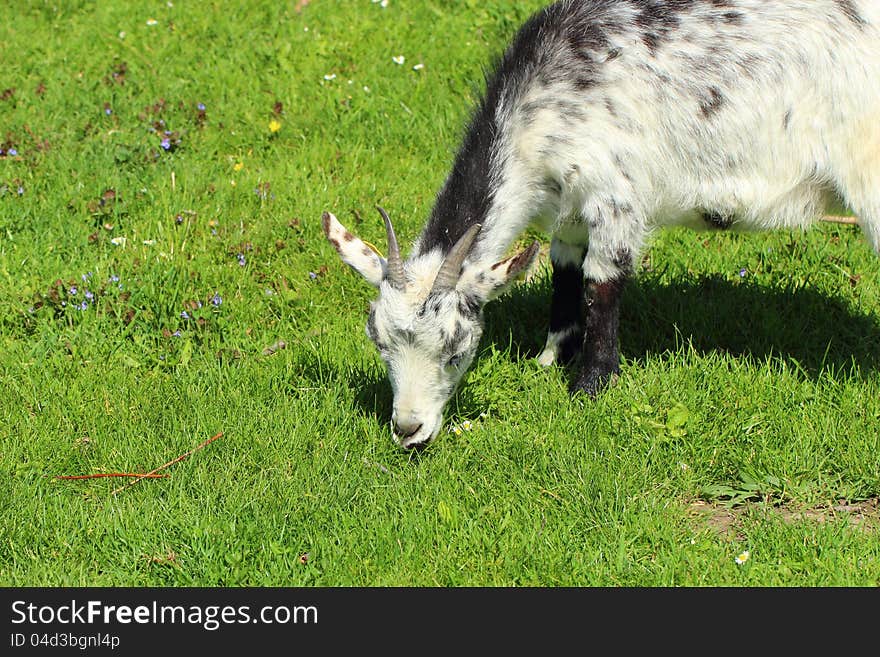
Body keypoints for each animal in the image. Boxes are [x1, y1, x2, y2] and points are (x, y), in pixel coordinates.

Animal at [324, 0, 880, 448]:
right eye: (378, 341)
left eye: (458, 349)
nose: (407, 430)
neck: (541, 107)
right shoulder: (569, 202)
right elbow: (565, 265)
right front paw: (551, 357)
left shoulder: (614, 190)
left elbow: (603, 279)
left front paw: (590, 386)